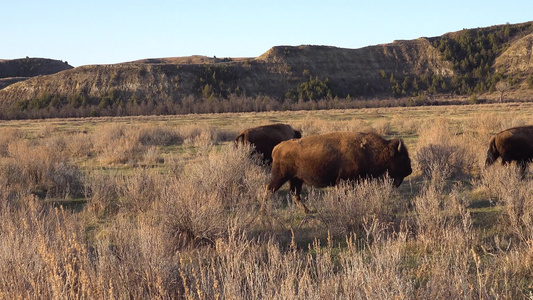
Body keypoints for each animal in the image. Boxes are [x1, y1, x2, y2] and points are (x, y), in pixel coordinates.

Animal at [266, 131, 412, 213]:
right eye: (402, 156)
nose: (410, 170)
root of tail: (277, 147)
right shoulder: (343, 182)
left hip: (296, 179)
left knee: (295, 194)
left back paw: (306, 211)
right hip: (280, 177)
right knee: (269, 189)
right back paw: (264, 210)